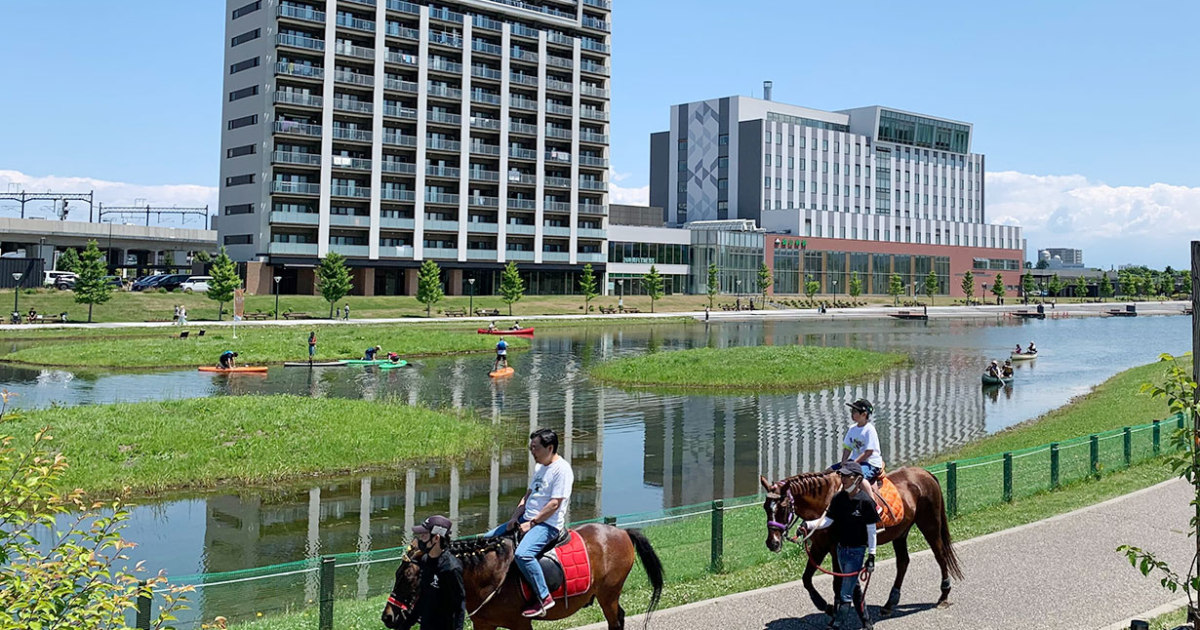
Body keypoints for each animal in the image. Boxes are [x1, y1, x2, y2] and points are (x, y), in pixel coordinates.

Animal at [381, 520, 667, 628]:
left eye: (406, 576)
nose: (388, 616)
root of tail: (621, 532)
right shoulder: (484, 623)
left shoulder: (520, 623)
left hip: (609, 594)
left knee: (615, 620)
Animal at [758, 468, 964, 614]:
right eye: (766, 507)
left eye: (783, 507)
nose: (772, 542)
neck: (826, 504)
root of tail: (926, 473)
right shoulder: (820, 546)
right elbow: (807, 579)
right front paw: (826, 606)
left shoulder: (834, 547)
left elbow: (836, 583)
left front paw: (836, 610)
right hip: (900, 533)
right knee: (903, 562)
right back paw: (890, 603)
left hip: (929, 524)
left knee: (940, 554)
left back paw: (944, 594)